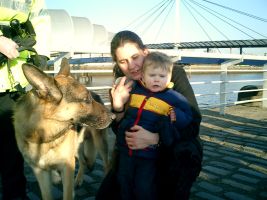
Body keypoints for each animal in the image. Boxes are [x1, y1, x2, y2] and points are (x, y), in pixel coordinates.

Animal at [13, 57, 115, 199]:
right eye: (86, 99)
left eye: (89, 98)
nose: (114, 117)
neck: (44, 134)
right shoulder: (40, 173)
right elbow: (47, 195)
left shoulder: (67, 167)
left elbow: (67, 194)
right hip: (76, 148)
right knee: (83, 162)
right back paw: (78, 181)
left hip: (99, 144)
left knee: (106, 164)